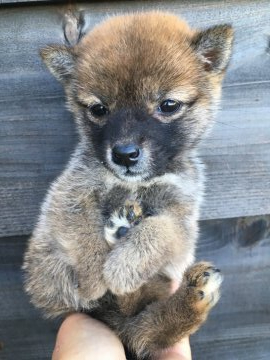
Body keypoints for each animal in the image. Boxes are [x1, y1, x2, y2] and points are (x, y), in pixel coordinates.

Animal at [23, 12, 233, 358]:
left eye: (168, 105)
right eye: (99, 109)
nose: (124, 154)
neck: (138, 183)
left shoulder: (182, 217)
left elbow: (160, 229)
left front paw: (124, 266)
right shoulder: (71, 195)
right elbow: (86, 239)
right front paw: (97, 280)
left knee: (145, 326)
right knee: (136, 324)